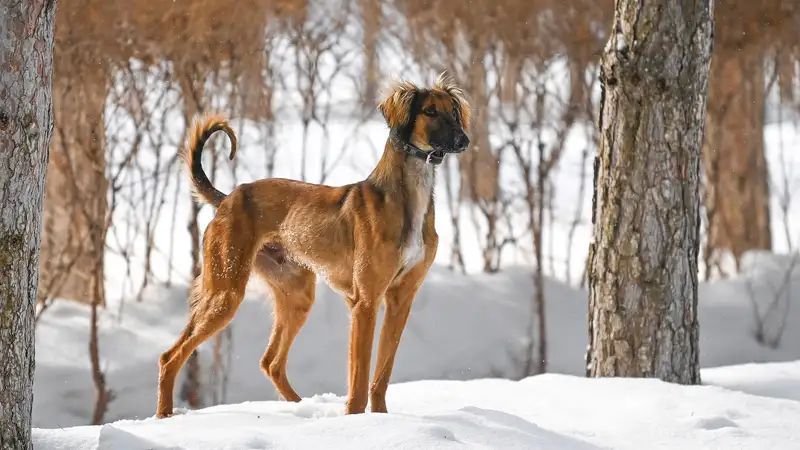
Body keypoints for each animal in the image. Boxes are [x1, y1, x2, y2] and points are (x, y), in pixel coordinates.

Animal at [155, 72, 468, 416]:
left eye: (454, 112)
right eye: (429, 111)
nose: (463, 141)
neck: (408, 198)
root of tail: (228, 199)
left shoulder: (401, 299)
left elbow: (381, 375)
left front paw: (381, 419)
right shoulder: (366, 301)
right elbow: (359, 379)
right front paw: (356, 419)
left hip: (295, 294)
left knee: (271, 362)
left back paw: (299, 409)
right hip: (226, 291)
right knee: (170, 357)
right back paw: (164, 415)